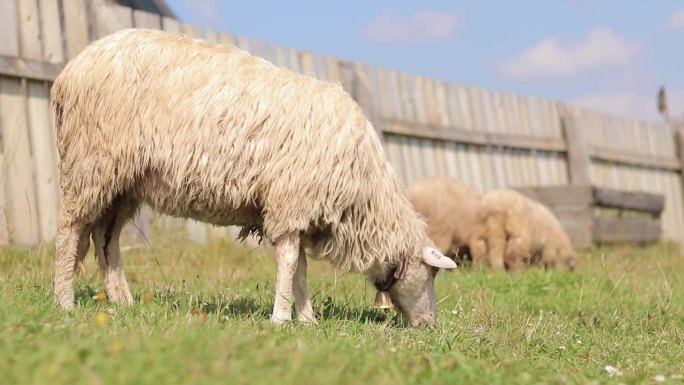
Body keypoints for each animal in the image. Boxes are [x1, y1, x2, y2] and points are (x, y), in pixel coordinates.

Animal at [50, 28, 456, 326]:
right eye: (432, 276)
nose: (428, 326)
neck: (364, 198)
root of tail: (70, 71)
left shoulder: (295, 210)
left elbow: (300, 268)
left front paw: (306, 319)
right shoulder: (291, 200)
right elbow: (291, 263)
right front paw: (281, 319)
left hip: (123, 181)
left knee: (106, 239)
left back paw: (124, 301)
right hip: (90, 161)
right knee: (70, 229)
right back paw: (64, 301)